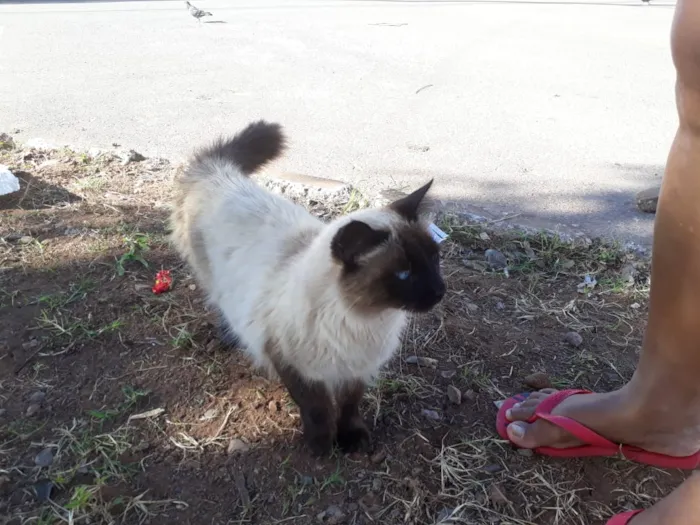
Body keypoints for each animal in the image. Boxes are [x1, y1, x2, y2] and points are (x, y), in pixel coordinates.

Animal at [169, 119, 442, 454]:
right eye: (404, 274)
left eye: (434, 259)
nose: (440, 291)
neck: (366, 320)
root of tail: (218, 171)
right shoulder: (295, 367)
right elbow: (318, 410)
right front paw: (321, 447)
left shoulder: (357, 371)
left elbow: (349, 407)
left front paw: (351, 440)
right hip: (215, 282)